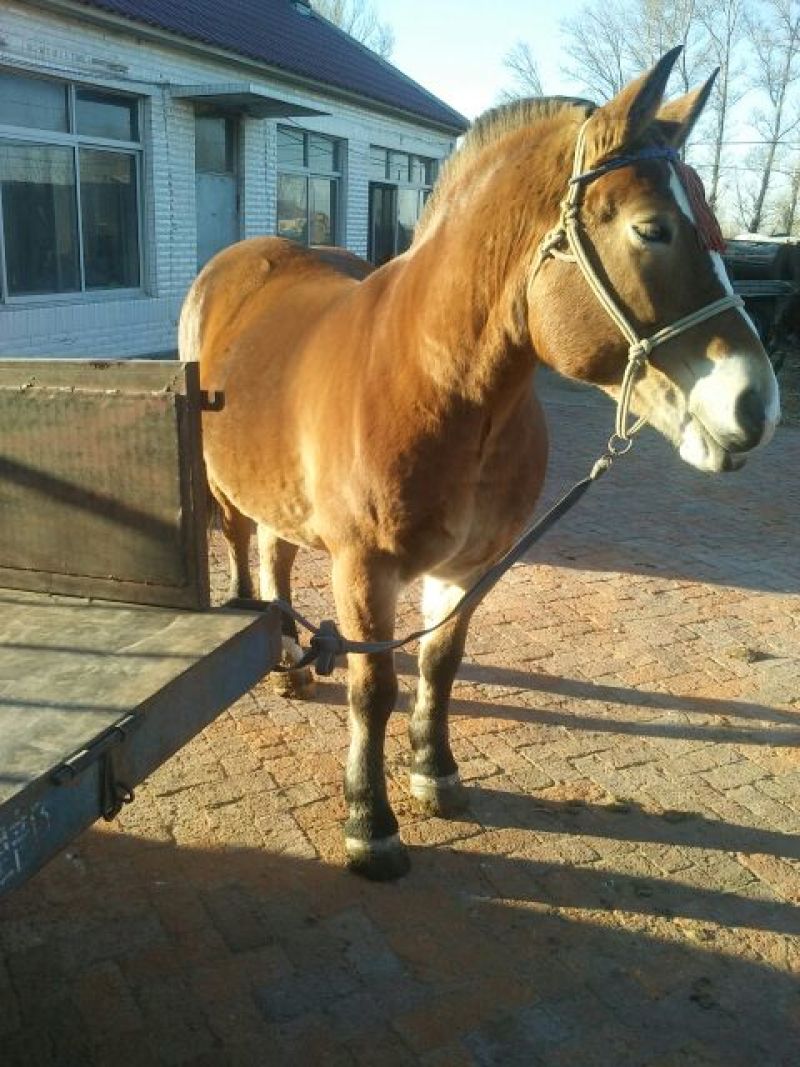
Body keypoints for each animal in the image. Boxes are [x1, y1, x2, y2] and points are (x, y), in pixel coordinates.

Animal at [180, 48, 780, 880]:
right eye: (652, 229)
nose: (757, 406)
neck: (445, 387)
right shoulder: (366, 570)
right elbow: (375, 686)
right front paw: (371, 825)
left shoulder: (470, 565)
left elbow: (439, 664)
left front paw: (435, 775)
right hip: (226, 483)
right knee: (244, 545)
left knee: (275, 551)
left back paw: (295, 664)